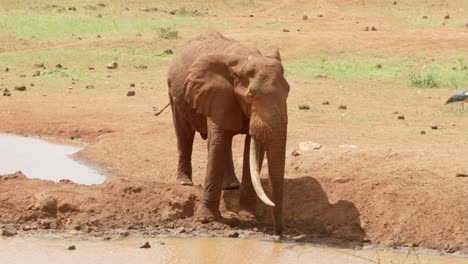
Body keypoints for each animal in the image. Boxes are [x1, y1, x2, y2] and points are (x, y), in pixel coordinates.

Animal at [166, 31, 288, 235]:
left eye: (288, 93)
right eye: (250, 96)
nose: (278, 233)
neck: (246, 60)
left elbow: (252, 146)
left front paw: (251, 213)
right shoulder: (218, 96)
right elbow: (218, 142)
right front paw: (206, 220)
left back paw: (231, 185)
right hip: (175, 93)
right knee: (184, 134)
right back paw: (184, 183)